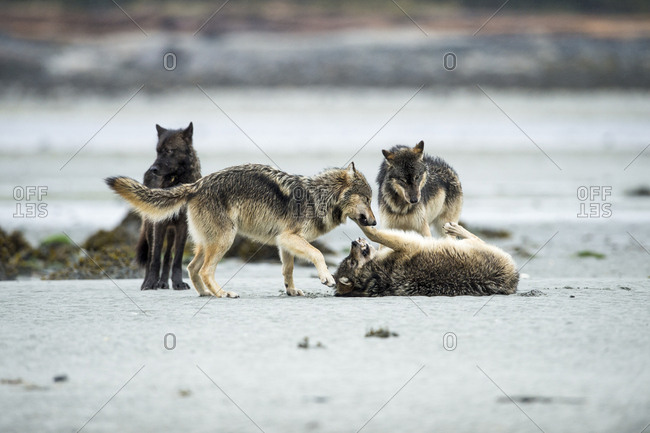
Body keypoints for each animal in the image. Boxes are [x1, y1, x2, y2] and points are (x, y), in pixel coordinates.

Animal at [106, 162, 376, 298]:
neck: (319, 196)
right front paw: (326, 277)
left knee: (192, 268)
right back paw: (222, 294)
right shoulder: (289, 237)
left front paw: (291, 290)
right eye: (367, 199)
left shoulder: (284, 241)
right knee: (205, 270)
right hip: (225, 240)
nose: (374, 223)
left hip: (208, 243)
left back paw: (206, 294)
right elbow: (318, 254)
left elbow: (287, 270)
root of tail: (196, 184)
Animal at [135, 122, 201, 291]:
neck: (176, 181)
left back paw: (164, 282)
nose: (153, 170)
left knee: (168, 256)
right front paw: (150, 283)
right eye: (158, 151)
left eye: (170, 151)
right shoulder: (159, 224)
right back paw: (148, 282)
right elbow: (155, 258)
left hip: (171, 230)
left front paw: (178, 282)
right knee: (151, 256)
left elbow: (176, 258)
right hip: (151, 228)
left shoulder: (183, 225)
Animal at [334, 222, 518, 297]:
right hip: (474, 245)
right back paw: (455, 229)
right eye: (352, 262)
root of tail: (513, 280)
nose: (353, 243)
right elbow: (374, 233)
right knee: (474, 237)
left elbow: (375, 235)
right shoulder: (405, 244)